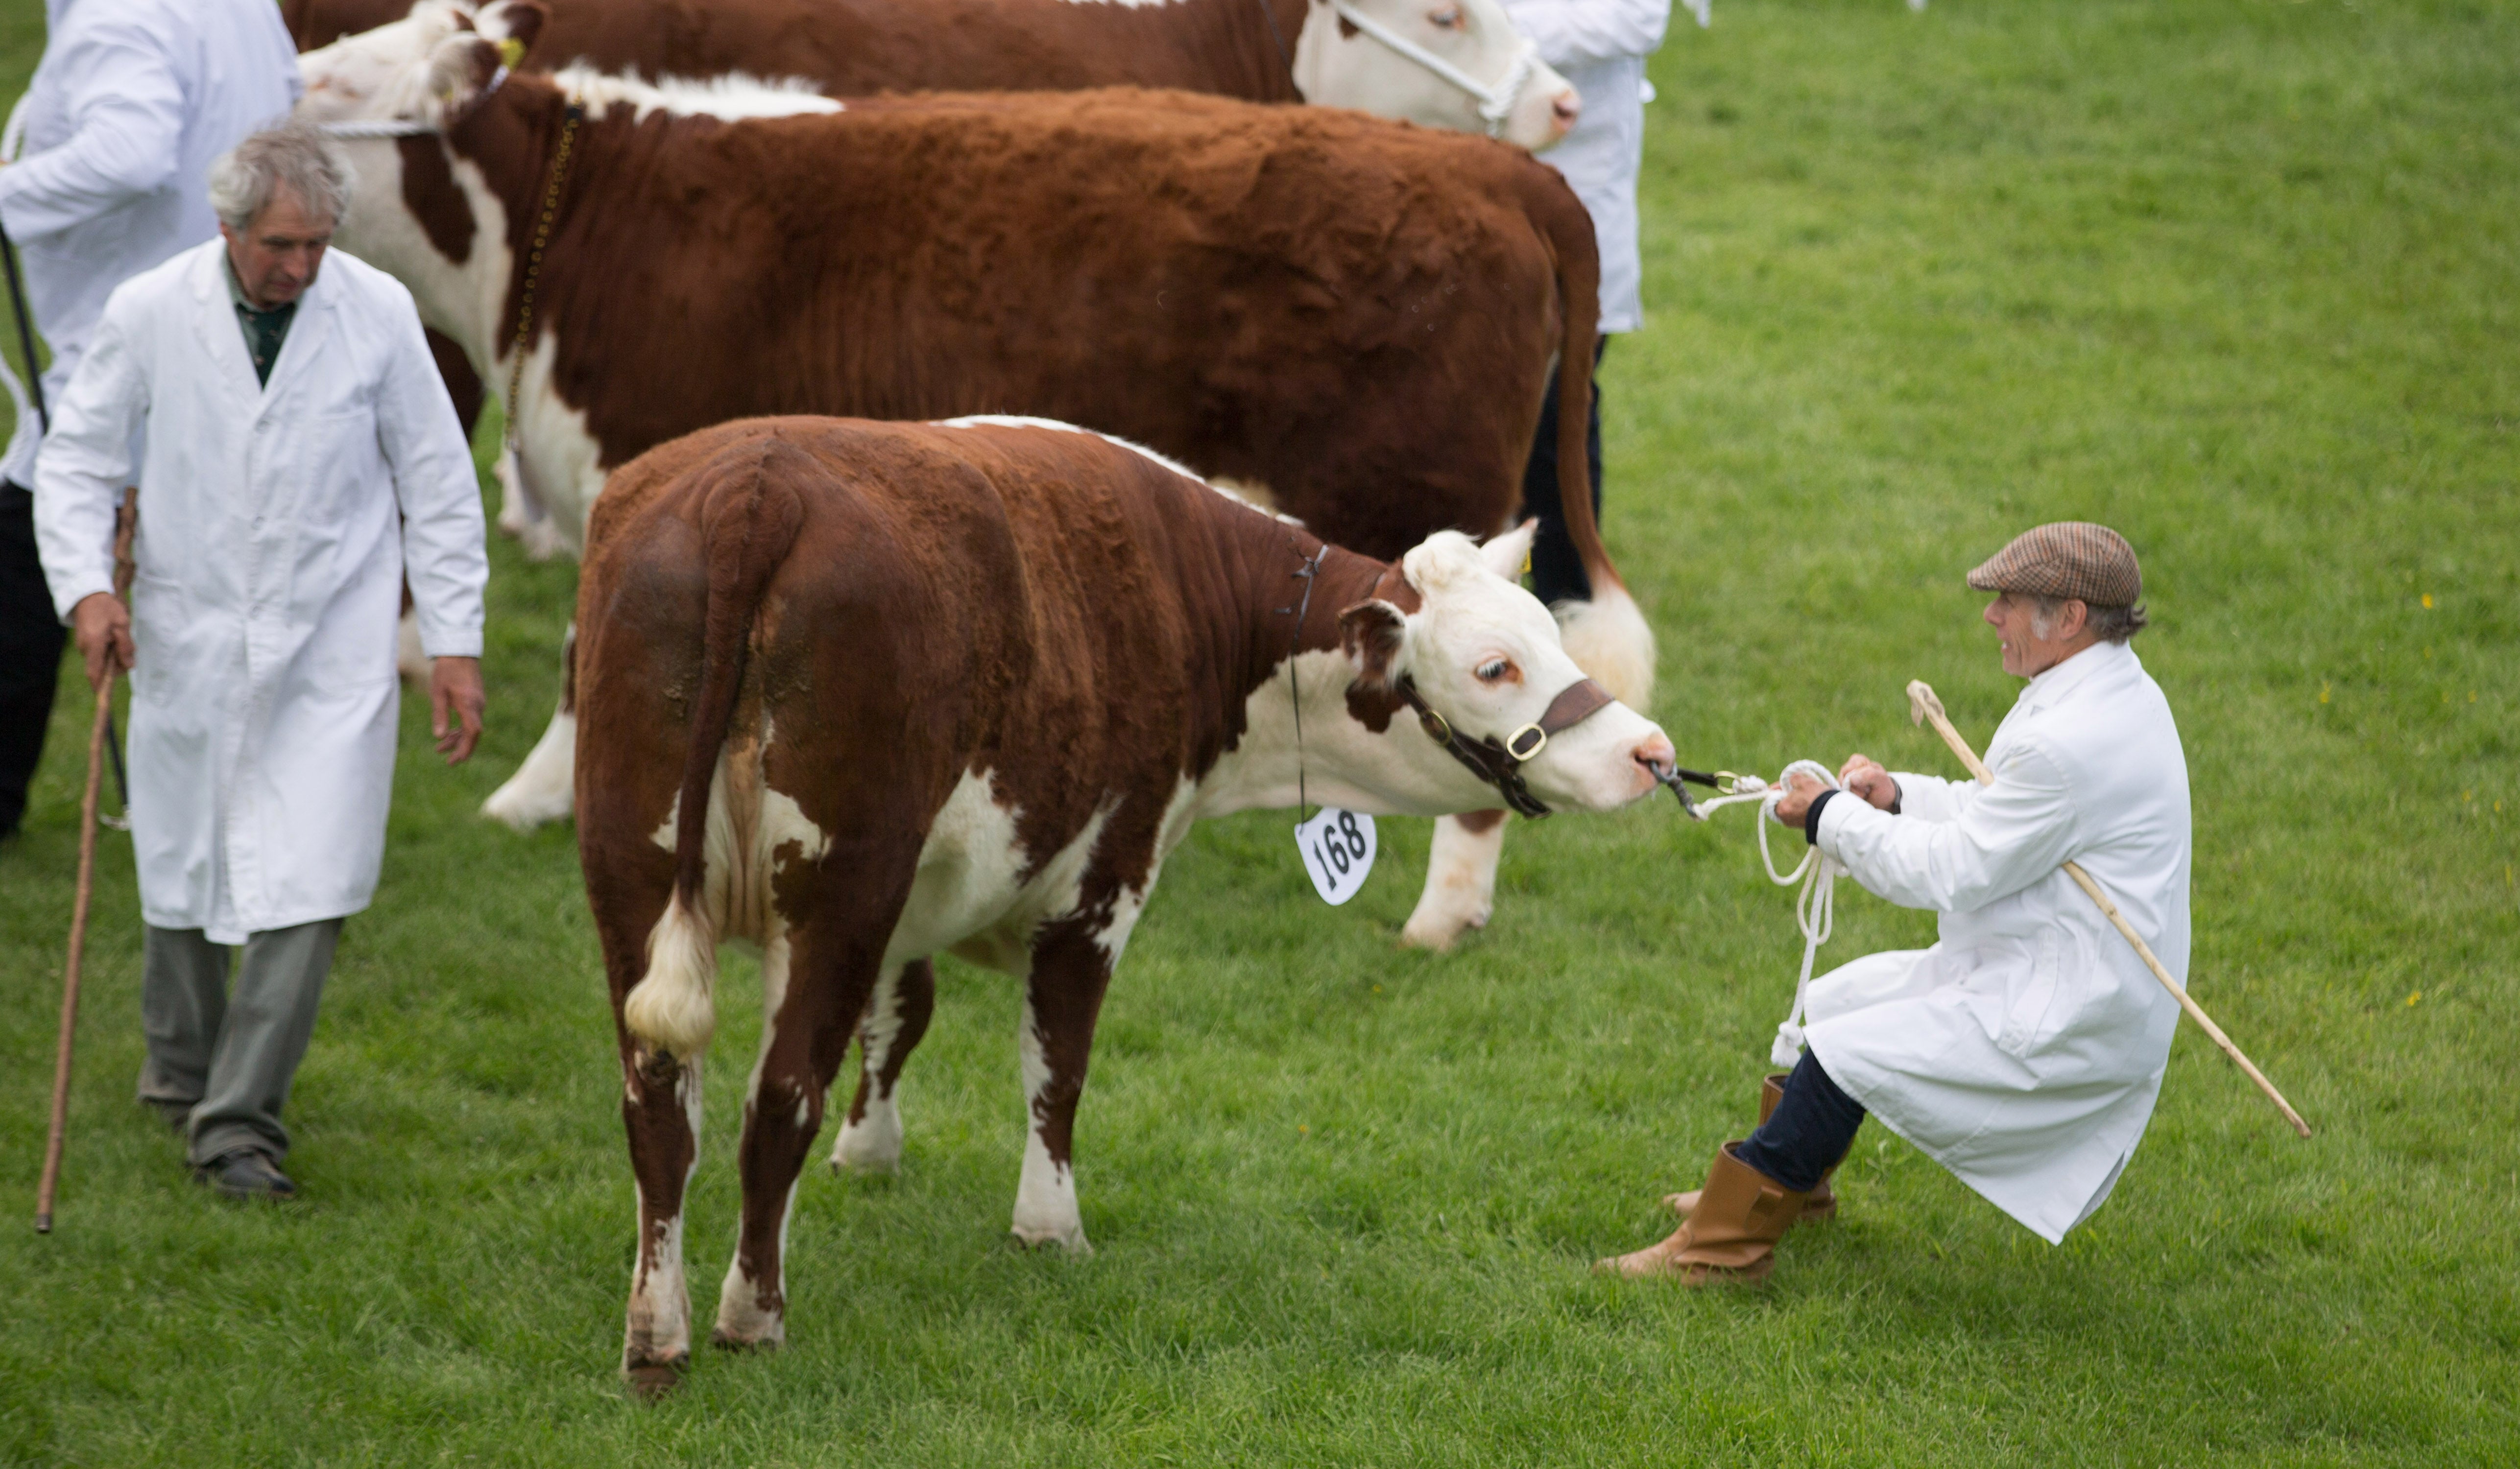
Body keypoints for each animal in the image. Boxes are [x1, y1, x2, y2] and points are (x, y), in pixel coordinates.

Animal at [298, 9, 1659, 951]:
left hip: (1425, 515)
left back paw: (1442, 913)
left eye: (333, 80)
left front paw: (532, 794)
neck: (597, 216)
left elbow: (591, 663)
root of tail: (1498, 171)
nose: (266, 134)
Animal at [575, 415, 1674, 1392]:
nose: (1649, 752)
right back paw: (750, 1318)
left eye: (1548, 634)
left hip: (634, 868)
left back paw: (656, 1333)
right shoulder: (1099, 880)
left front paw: (871, 1153)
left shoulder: (910, 896)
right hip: (837, 885)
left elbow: (900, 1014)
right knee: (776, 1099)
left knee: (659, 1102)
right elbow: (1056, 1065)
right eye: (1495, 666)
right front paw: (1049, 1228)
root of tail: (755, 487)